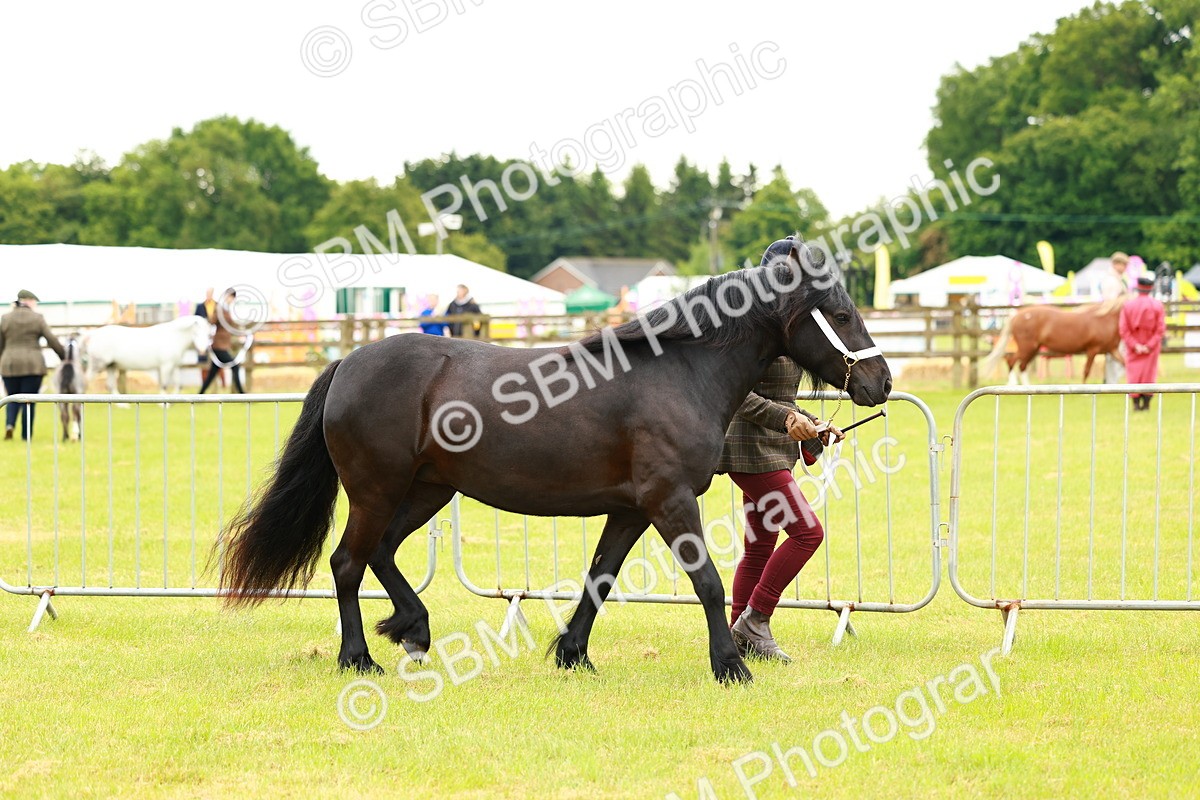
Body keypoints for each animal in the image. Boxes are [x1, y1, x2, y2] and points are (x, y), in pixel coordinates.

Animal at [83, 316, 211, 393]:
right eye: (196, 334)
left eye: (208, 334)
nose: (203, 350)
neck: (174, 336)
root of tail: (93, 333)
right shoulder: (166, 366)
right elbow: (164, 385)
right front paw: (163, 404)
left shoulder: (174, 366)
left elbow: (179, 385)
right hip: (98, 364)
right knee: (87, 380)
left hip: (111, 365)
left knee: (110, 385)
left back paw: (123, 405)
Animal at [218, 240, 892, 683]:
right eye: (840, 313)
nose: (881, 381)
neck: (678, 371)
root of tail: (348, 363)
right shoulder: (671, 502)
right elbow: (706, 580)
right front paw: (729, 667)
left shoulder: (633, 510)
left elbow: (600, 577)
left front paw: (573, 654)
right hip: (377, 490)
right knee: (347, 562)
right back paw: (360, 657)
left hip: (427, 490)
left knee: (379, 553)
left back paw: (413, 629)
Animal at [979, 300, 1123, 385]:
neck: (1105, 319)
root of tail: (1016, 315)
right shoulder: (1092, 350)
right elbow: (1086, 371)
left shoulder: (1112, 350)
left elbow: (1124, 363)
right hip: (1027, 347)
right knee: (1012, 362)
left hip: (1033, 349)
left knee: (1021, 365)